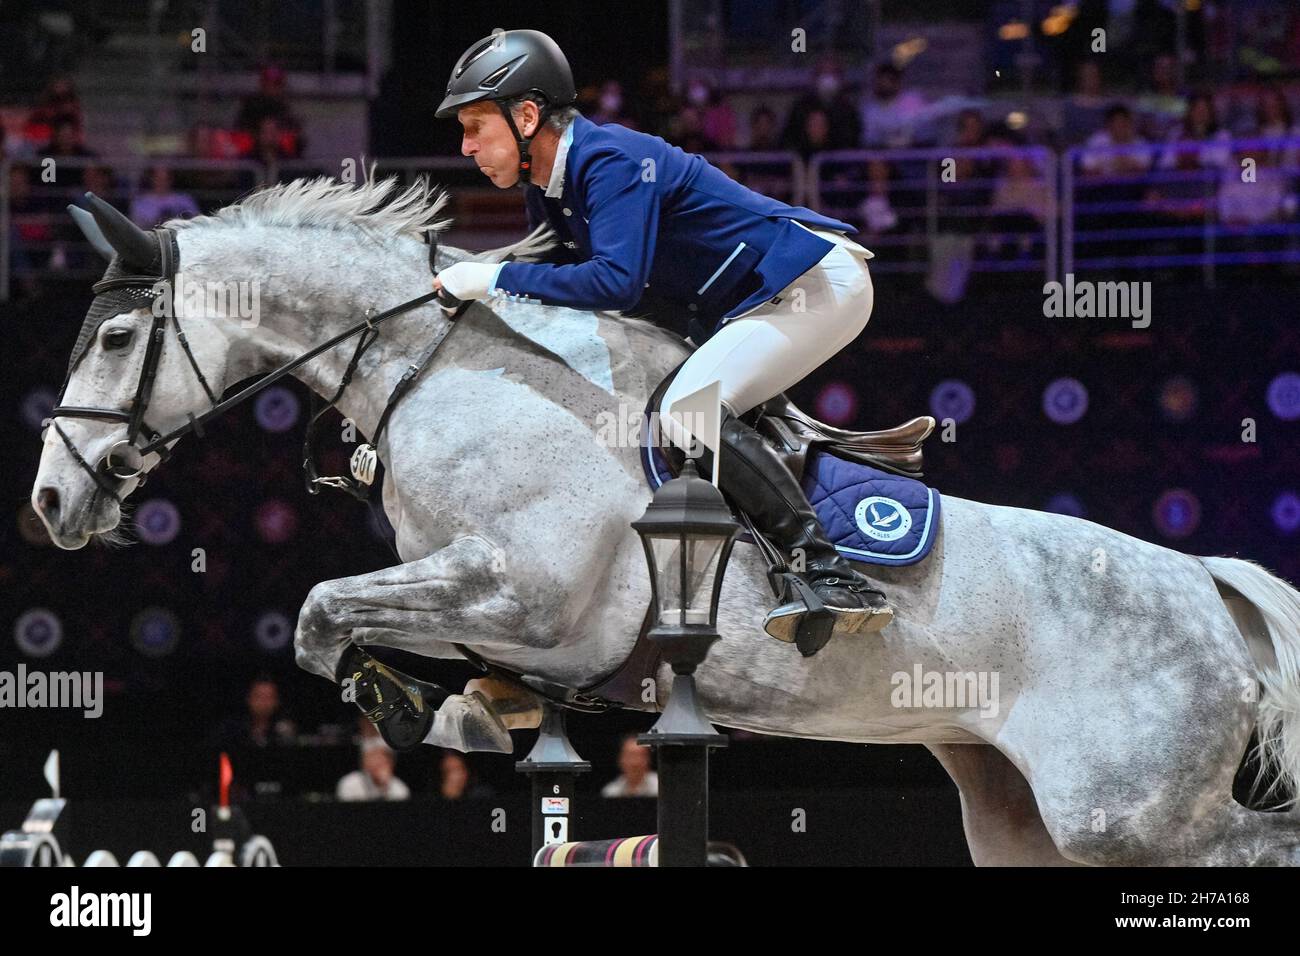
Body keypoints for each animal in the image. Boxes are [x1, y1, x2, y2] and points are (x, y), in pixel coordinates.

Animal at [30, 178, 1300, 868]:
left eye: (114, 336)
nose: (49, 502)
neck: (441, 368)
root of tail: (1208, 583)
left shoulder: (524, 591)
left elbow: (318, 613)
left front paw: (416, 709)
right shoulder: (490, 600)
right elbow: (359, 626)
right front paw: (477, 708)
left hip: (1121, 812)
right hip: (1019, 814)